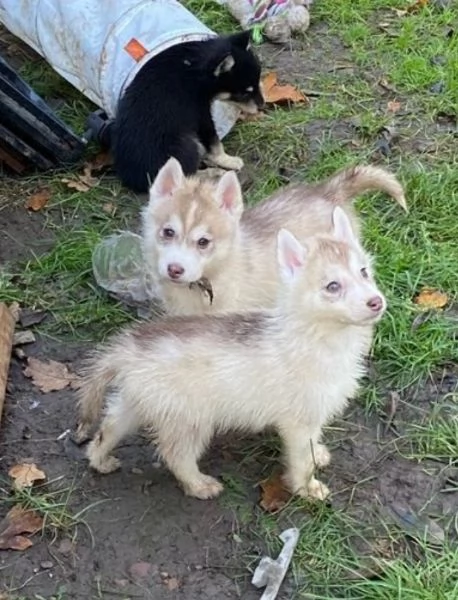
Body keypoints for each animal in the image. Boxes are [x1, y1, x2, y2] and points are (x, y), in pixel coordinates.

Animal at [76, 206, 386, 502]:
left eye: (363, 271)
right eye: (332, 286)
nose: (377, 302)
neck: (319, 337)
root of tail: (128, 347)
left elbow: (312, 447)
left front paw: (319, 452)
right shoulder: (300, 420)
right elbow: (302, 460)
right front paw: (307, 490)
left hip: (136, 402)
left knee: (108, 427)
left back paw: (100, 460)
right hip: (189, 419)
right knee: (175, 455)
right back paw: (199, 485)